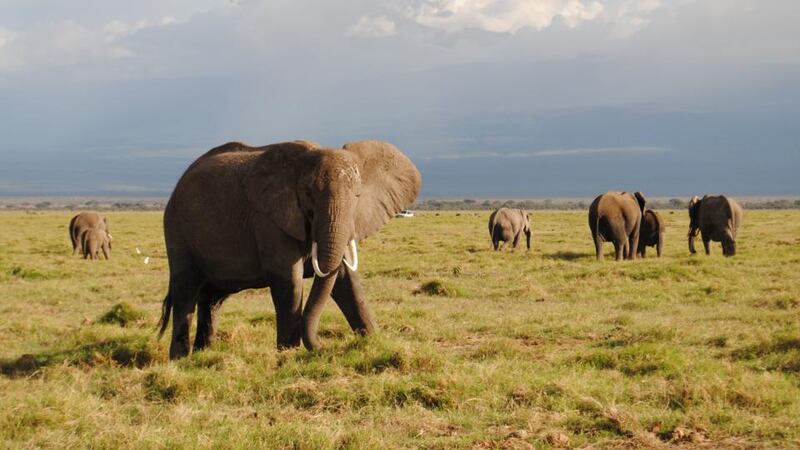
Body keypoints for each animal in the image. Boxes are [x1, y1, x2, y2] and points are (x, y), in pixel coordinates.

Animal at [158, 140, 420, 359]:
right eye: (308, 194)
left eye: (357, 196)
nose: (328, 348)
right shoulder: (269, 220)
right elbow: (289, 280)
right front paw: (287, 356)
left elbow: (346, 280)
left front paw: (373, 343)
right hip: (175, 227)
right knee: (185, 290)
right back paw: (180, 359)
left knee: (213, 298)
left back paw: (204, 354)